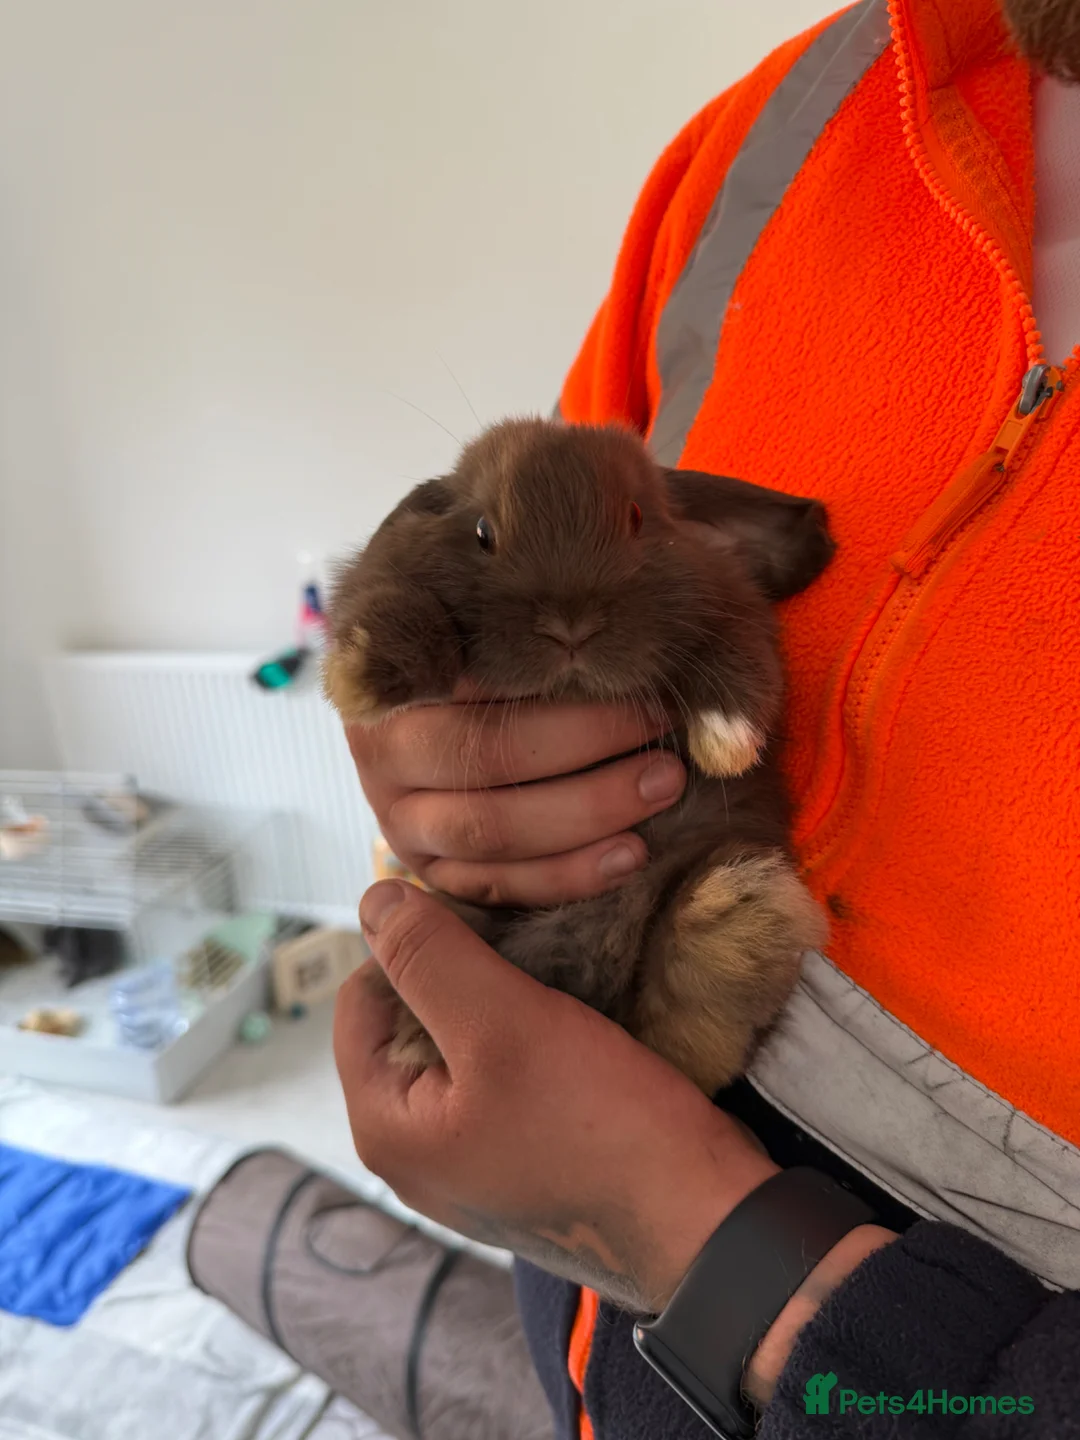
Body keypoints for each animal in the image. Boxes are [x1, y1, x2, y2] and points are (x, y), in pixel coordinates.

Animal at [324, 417, 833, 1095]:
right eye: (483, 532)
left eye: (638, 517)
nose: (571, 625)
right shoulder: (388, 584)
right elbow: (388, 601)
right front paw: (364, 672)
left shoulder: (730, 604)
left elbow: (737, 653)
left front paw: (725, 742)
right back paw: (417, 1040)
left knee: (682, 1035)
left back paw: (724, 910)